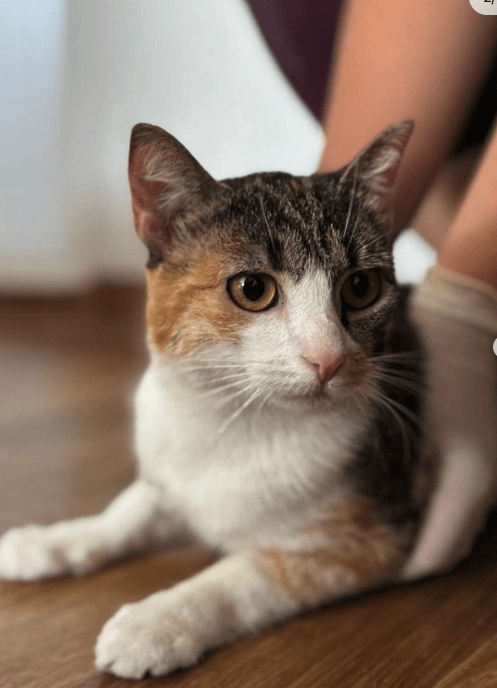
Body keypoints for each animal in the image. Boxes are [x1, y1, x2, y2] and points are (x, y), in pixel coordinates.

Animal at [0, 118, 430, 676]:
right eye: (252, 288)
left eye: (361, 287)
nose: (329, 359)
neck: (236, 419)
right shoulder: (171, 472)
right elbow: (129, 511)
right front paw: (51, 540)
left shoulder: (366, 537)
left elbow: (242, 576)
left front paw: (156, 622)